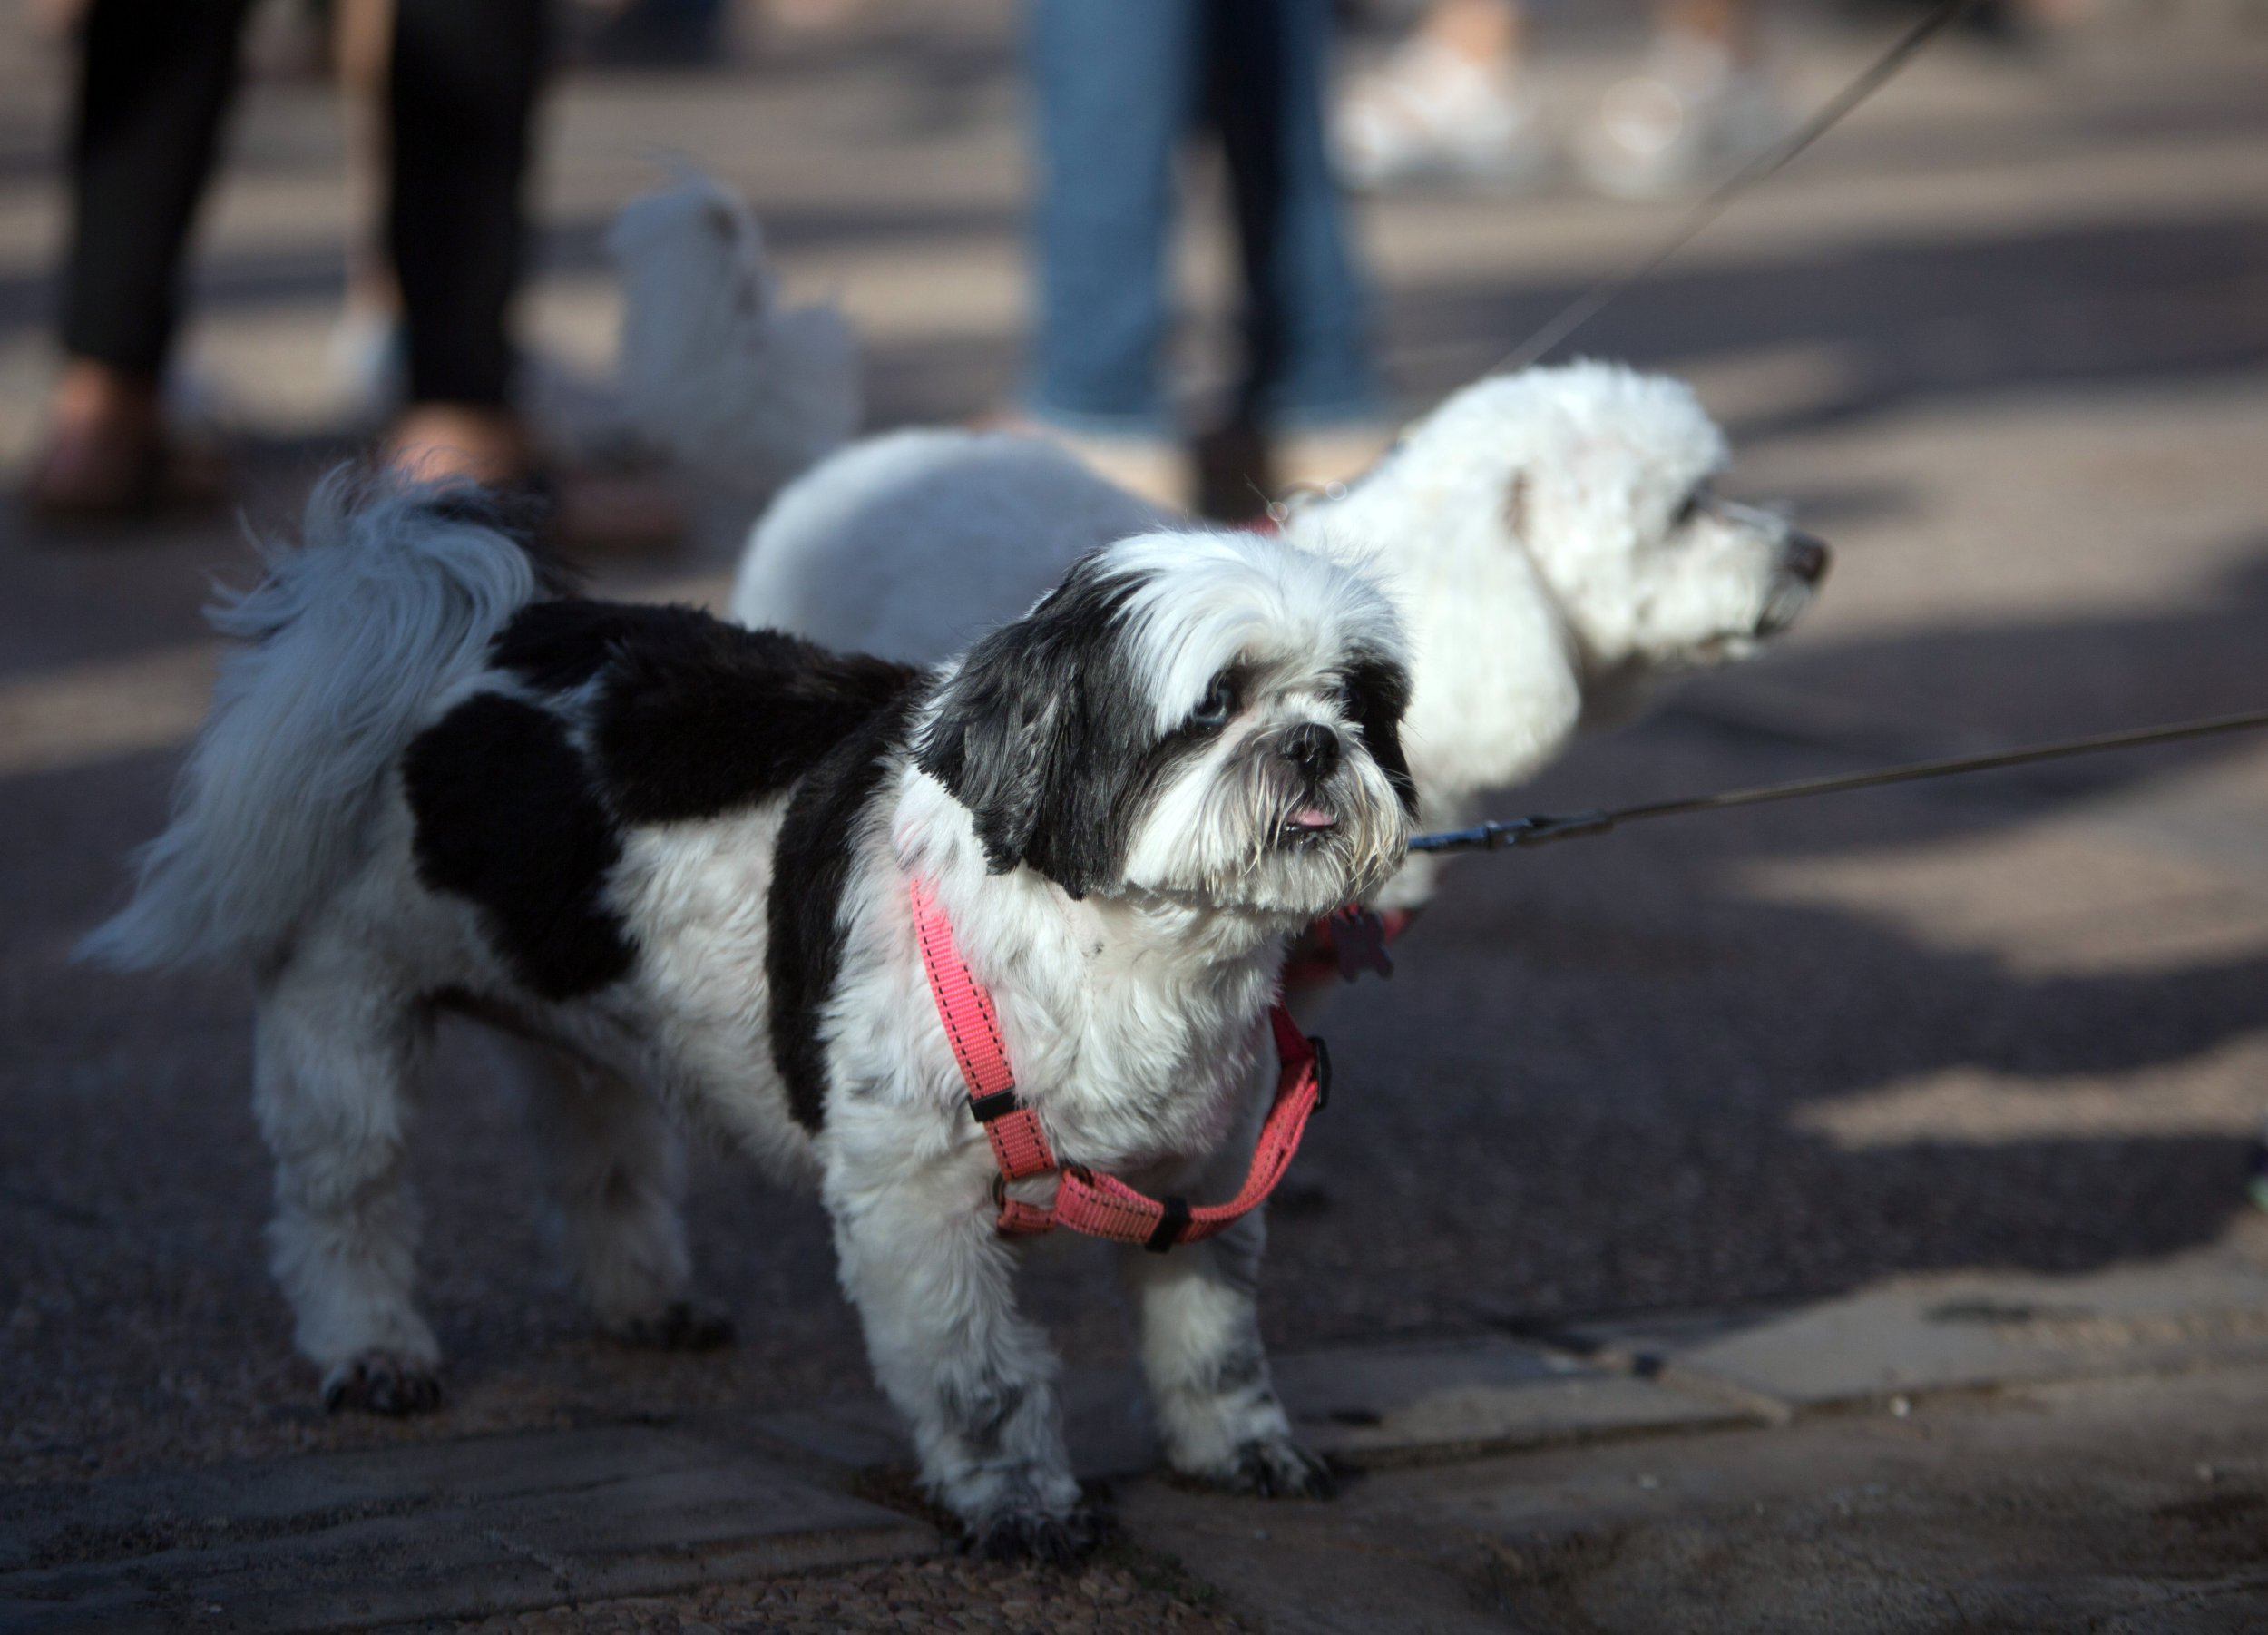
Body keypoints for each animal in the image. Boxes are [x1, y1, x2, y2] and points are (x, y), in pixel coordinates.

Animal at [97, 475, 1424, 1560]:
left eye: (1358, 703)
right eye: (1213, 705)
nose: (1313, 744)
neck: (1114, 945)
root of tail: (453, 623)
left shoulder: (1199, 1180)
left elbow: (1214, 1344)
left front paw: (1239, 1449)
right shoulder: (916, 1204)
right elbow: (982, 1375)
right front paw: (1019, 1503)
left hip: (589, 1019)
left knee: (597, 1157)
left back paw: (643, 1299)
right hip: (342, 1011)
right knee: (345, 1199)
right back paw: (372, 1347)